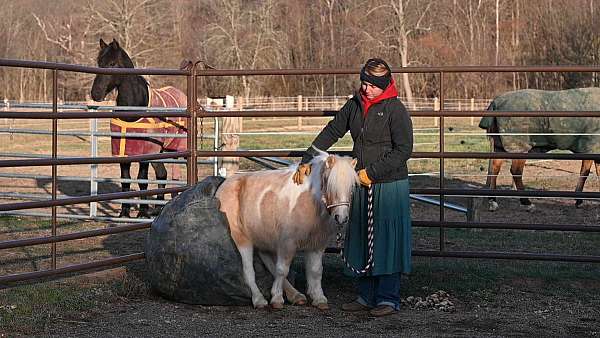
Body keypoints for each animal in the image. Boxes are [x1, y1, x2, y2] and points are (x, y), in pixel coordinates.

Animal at [89, 39, 185, 219]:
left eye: (112, 63)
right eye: (99, 63)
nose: (95, 94)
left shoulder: (145, 153)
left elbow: (142, 180)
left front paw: (142, 212)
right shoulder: (123, 153)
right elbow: (125, 180)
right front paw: (124, 213)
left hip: (176, 149)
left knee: (172, 175)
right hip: (160, 152)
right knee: (162, 175)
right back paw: (158, 208)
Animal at [214, 153, 356, 308]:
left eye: (351, 187)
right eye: (329, 183)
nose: (341, 217)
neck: (310, 201)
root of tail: (224, 185)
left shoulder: (317, 244)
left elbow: (316, 270)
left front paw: (319, 298)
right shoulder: (287, 243)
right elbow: (282, 269)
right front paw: (276, 298)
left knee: (267, 261)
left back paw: (296, 296)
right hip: (242, 238)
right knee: (249, 272)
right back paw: (259, 300)